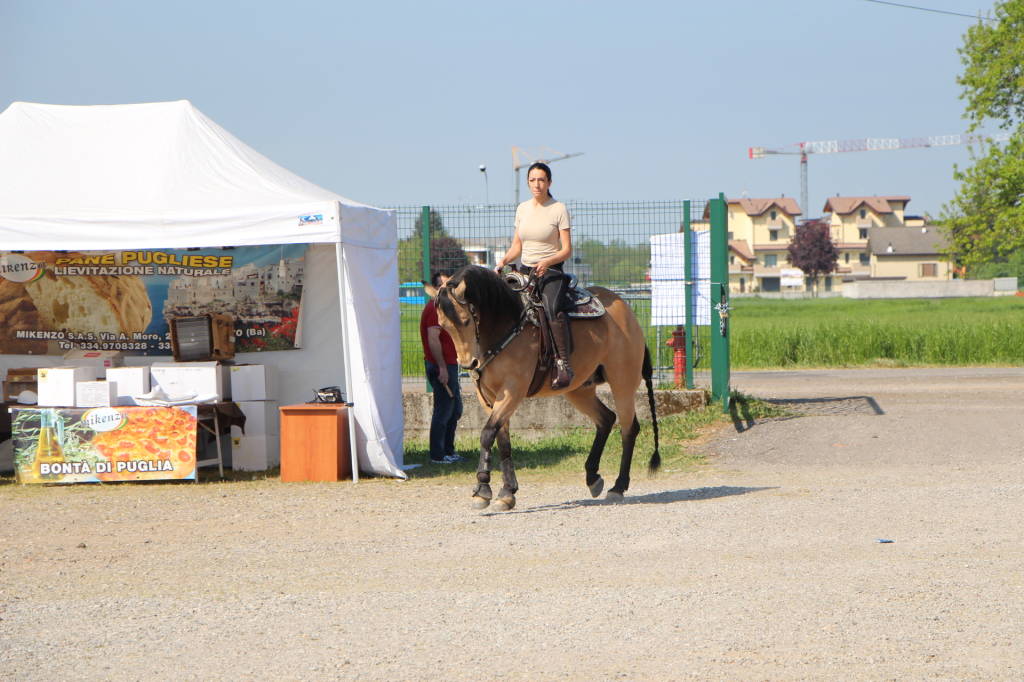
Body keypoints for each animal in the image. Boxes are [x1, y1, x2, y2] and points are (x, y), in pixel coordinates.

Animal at [421, 262, 655, 507]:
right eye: (443, 326)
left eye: (466, 321)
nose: (469, 364)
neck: (505, 324)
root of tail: (625, 310)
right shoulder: (488, 396)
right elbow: (502, 440)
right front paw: (507, 492)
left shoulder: (512, 391)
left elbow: (486, 434)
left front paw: (482, 489)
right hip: (579, 389)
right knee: (606, 418)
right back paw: (593, 477)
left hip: (623, 382)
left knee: (629, 428)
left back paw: (618, 486)